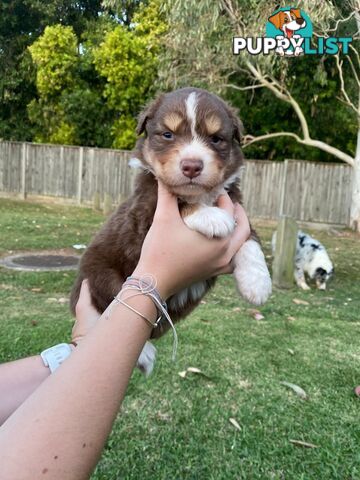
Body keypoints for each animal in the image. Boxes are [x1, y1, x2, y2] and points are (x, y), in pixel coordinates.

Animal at [69, 88, 270, 376]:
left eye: (216, 139)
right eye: (168, 134)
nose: (192, 166)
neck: (202, 195)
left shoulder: (236, 204)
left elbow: (250, 238)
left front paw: (258, 284)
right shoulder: (143, 217)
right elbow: (183, 203)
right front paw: (211, 217)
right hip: (100, 276)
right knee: (105, 308)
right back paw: (143, 353)